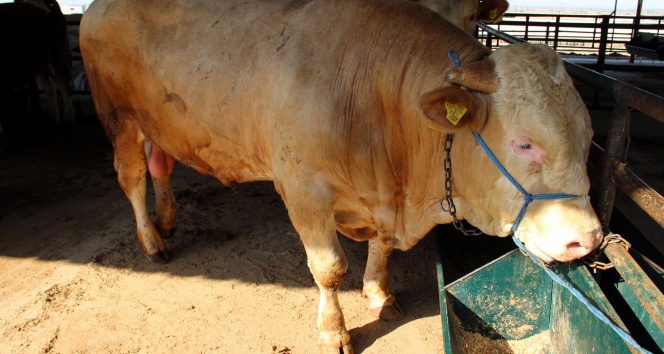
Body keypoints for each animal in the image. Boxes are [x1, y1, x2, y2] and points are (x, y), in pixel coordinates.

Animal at [0, 0, 74, 151]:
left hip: (58, 52)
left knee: (63, 83)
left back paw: (69, 118)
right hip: (40, 60)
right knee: (50, 87)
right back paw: (53, 119)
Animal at [80, 0, 604, 352]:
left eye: (587, 137)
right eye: (524, 143)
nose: (589, 239)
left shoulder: (381, 198)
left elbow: (382, 250)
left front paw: (379, 295)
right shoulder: (303, 189)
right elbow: (329, 269)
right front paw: (334, 332)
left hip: (159, 123)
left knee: (160, 166)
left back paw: (168, 221)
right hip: (119, 118)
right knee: (131, 178)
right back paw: (153, 241)